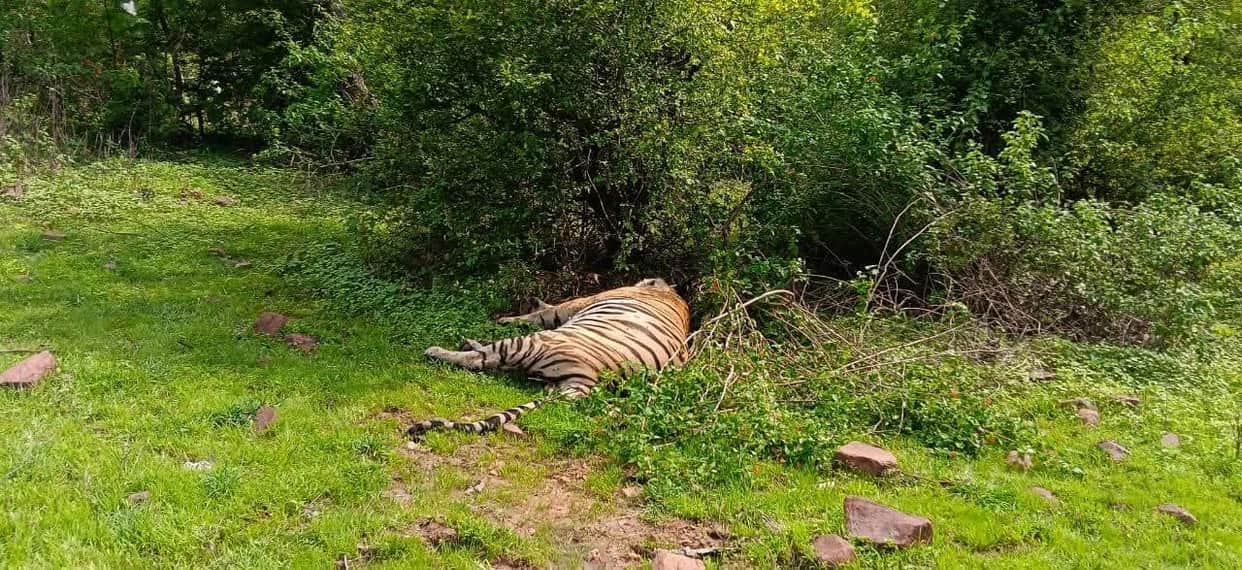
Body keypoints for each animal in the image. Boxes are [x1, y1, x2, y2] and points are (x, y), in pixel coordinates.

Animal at [407, 278, 691, 437]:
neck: (673, 296)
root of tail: (587, 384)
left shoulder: (577, 303)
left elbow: (542, 313)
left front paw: (507, 318)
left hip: (529, 343)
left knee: (482, 359)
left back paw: (437, 350)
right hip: (549, 378)